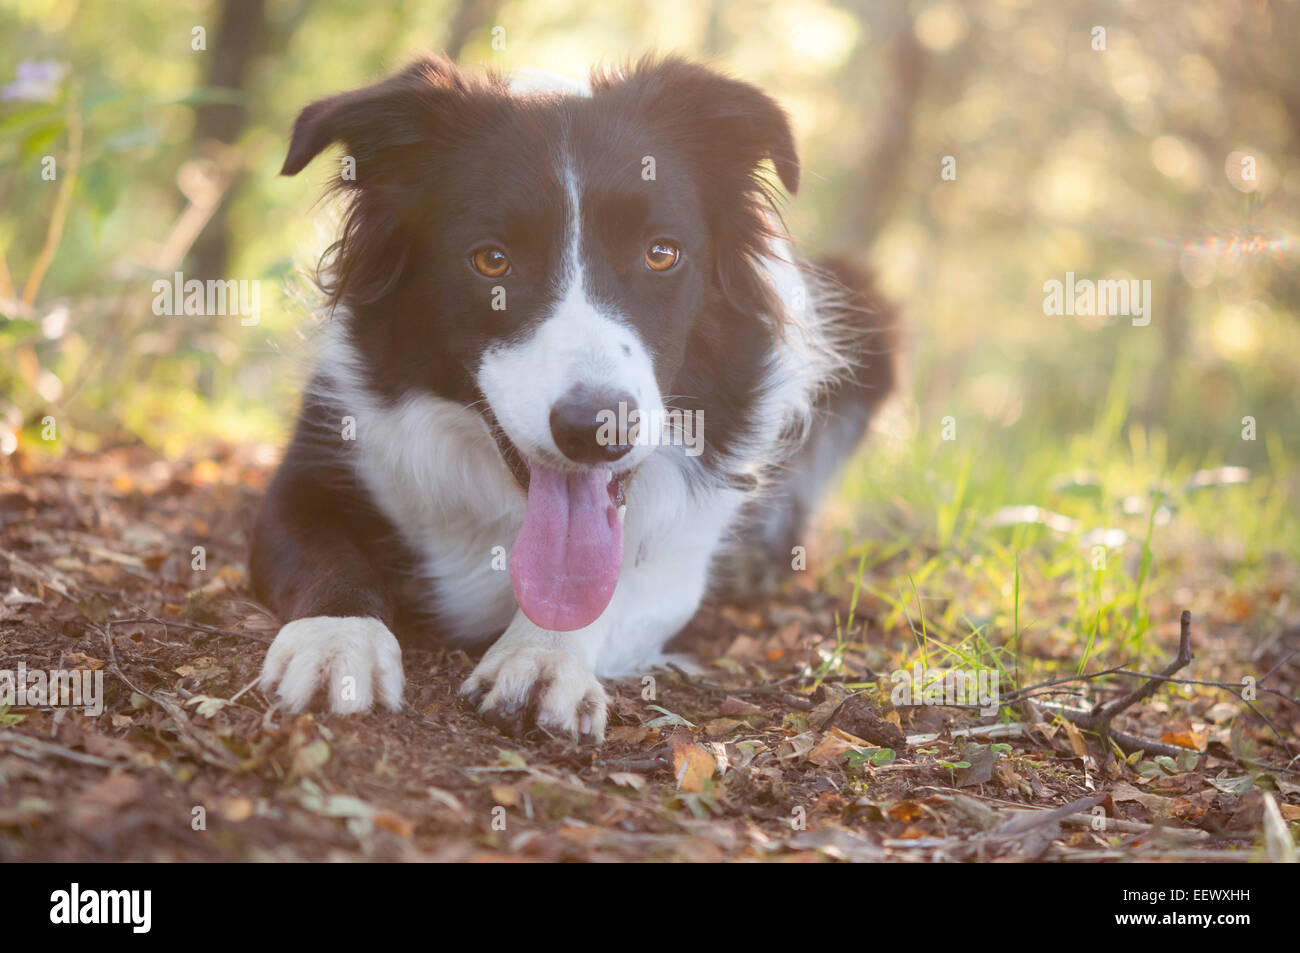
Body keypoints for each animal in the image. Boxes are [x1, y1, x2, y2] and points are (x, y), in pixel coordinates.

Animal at [250, 55, 894, 743]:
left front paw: (541, 656)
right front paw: (336, 642)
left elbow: (613, 586)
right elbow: (333, 561)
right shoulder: (313, 465)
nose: (598, 430)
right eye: (492, 261)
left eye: (661, 253)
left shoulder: (681, 557)